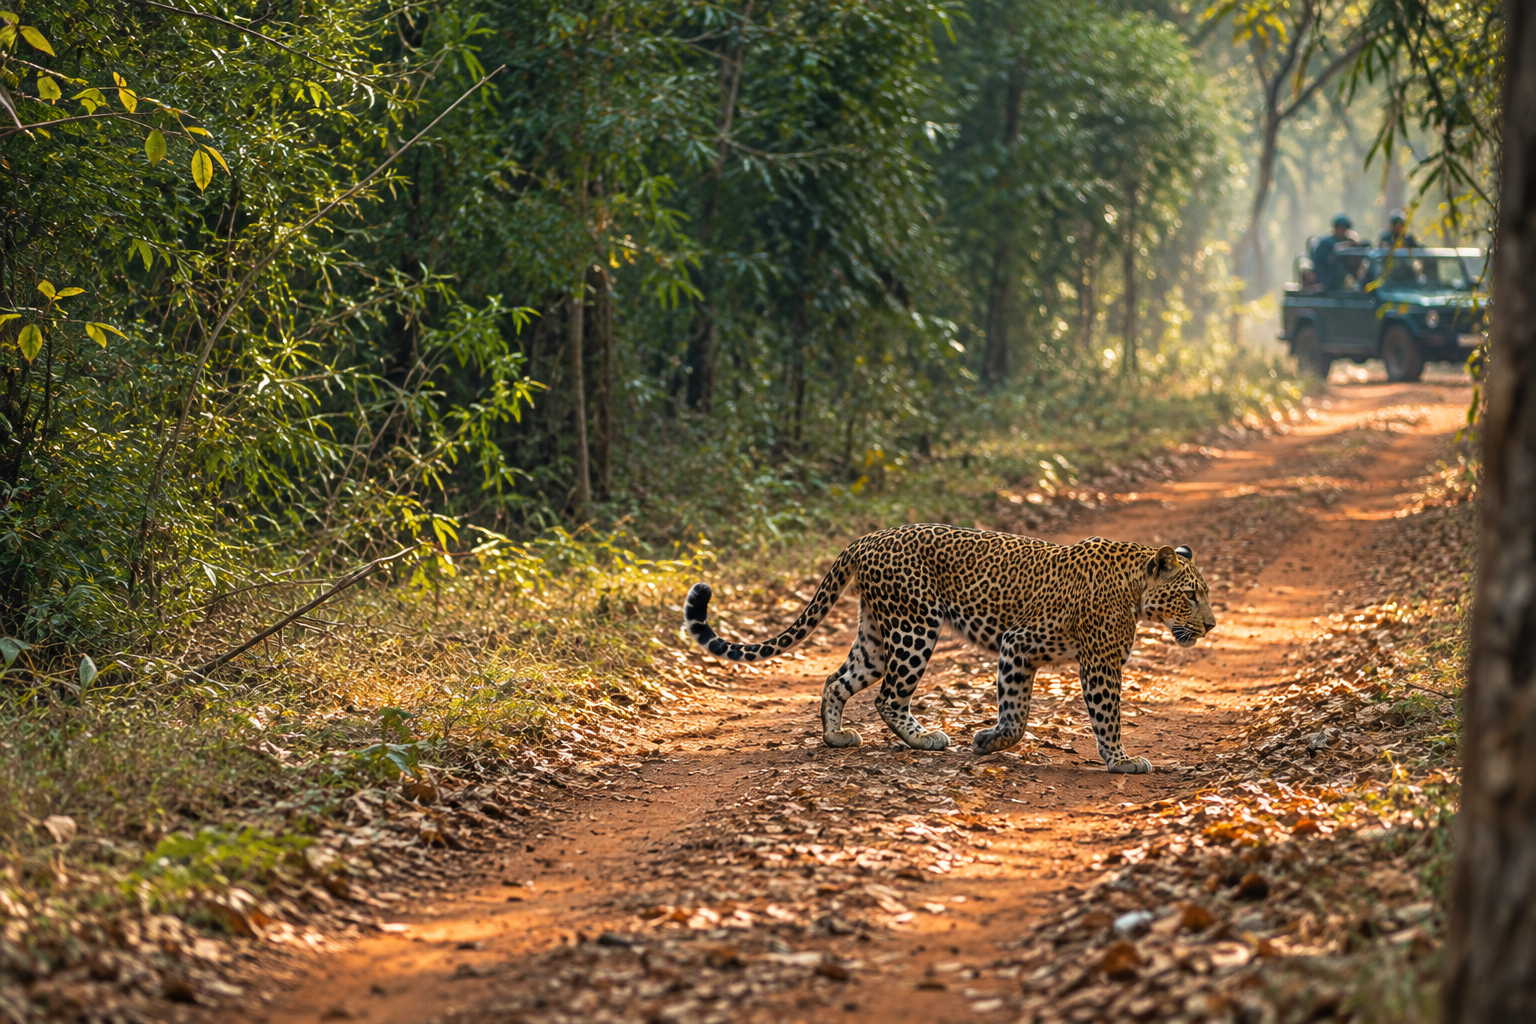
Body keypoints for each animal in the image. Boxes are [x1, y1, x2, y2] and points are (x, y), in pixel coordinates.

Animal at [682, 524, 1216, 773]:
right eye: (1191, 594)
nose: (1211, 625)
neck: (1136, 590)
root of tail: (867, 539)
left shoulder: (1021, 652)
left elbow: (1016, 714)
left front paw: (988, 741)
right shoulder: (1057, 651)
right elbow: (1099, 716)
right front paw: (1122, 761)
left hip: (877, 635)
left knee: (838, 680)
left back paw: (836, 737)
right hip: (915, 627)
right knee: (888, 696)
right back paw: (925, 739)